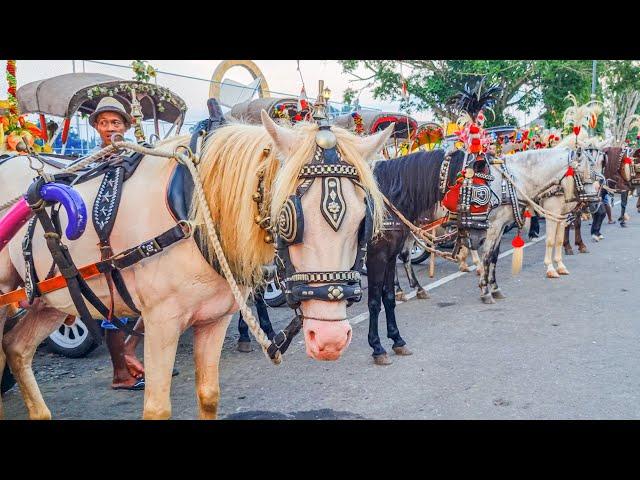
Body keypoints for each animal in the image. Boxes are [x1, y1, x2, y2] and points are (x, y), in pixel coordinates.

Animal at [476, 147, 600, 304]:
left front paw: (561, 265)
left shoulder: (562, 215)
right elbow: (550, 240)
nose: (596, 202)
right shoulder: (496, 225)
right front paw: (550, 268)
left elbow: (559, 240)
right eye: (582, 172)